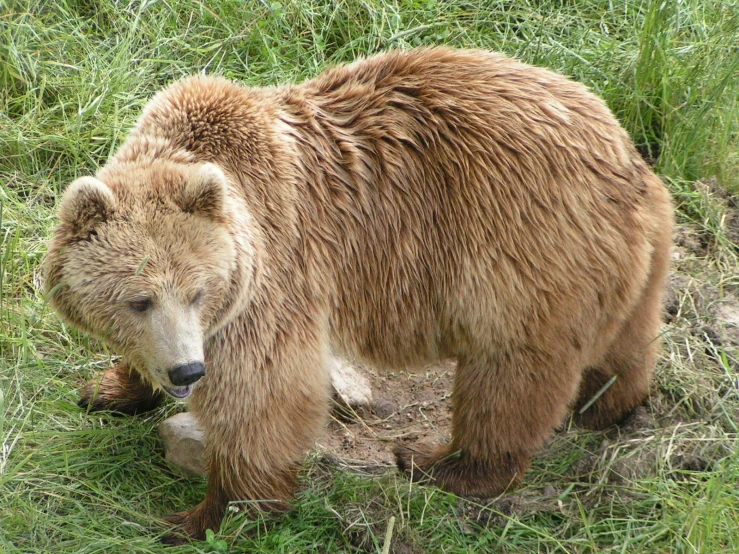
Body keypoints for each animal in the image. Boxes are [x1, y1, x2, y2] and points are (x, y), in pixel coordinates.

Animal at [43, 47, 672, 540]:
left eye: (199, 292)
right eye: (139, 300)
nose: (187, 371)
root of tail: (628, 157)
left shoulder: (272, 272)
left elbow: (261, 394)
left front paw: (207, 516)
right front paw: (109, 389)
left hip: (521, 252)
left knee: (508, 374)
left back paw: (439, 462)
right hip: (617, 260)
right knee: (626, 336)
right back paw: (609, 403)